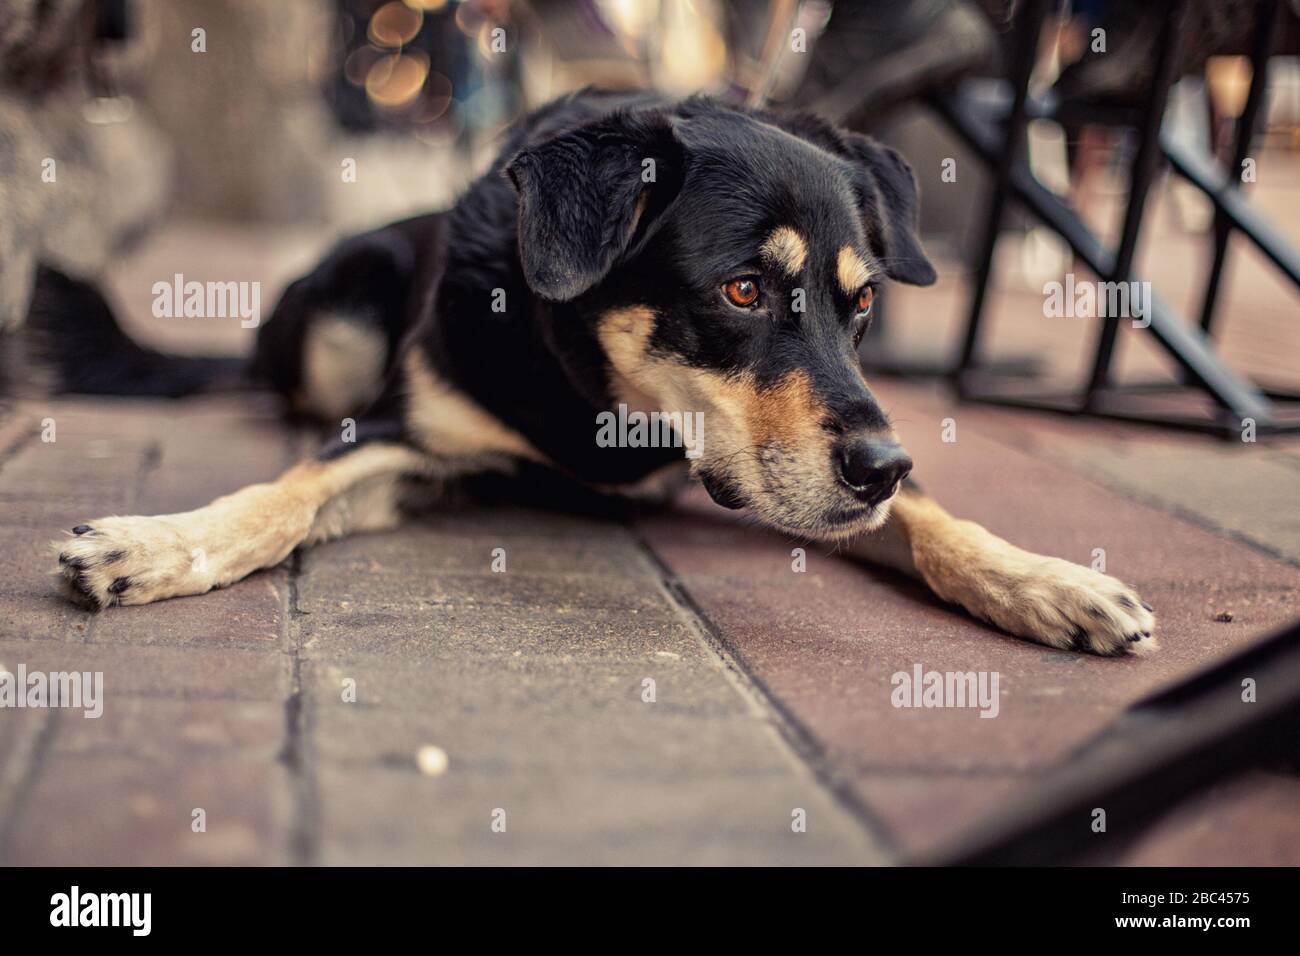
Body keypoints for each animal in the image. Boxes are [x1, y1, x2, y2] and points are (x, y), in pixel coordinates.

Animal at [55, 89, 1159, 658]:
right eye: (743, 291)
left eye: (862, 305)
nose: (881, 465)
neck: (609, 411)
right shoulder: (412, 439)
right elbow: (284, 494)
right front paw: (156, 544)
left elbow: (937, 521)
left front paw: (1046, 580)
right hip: (338, 309)